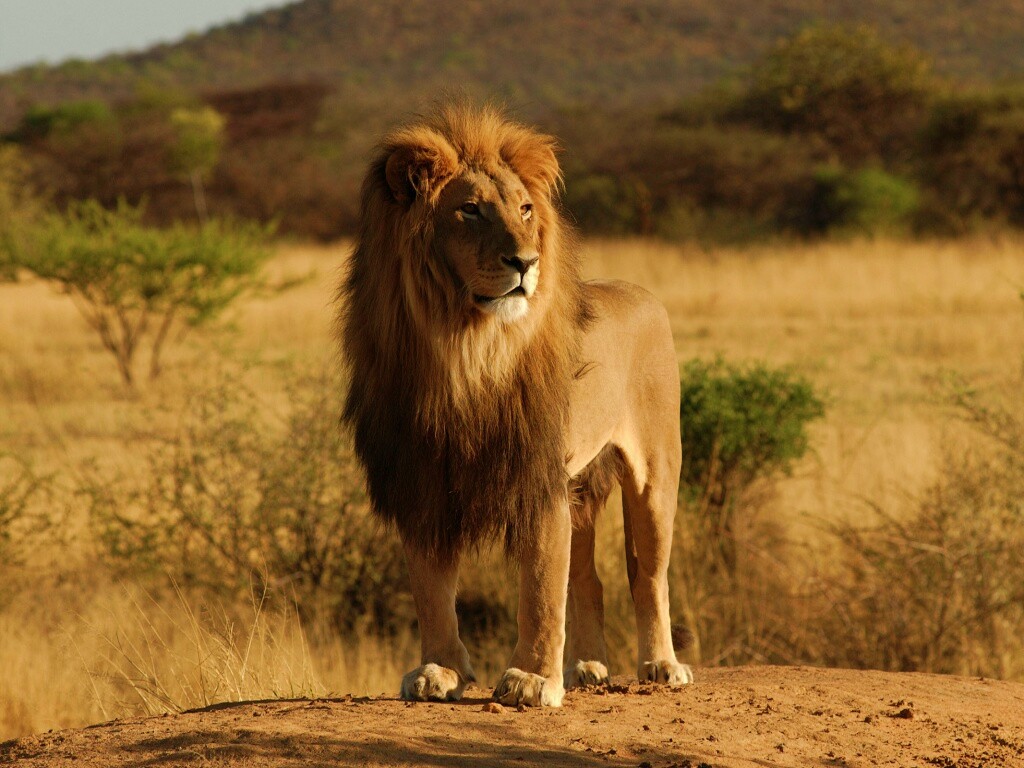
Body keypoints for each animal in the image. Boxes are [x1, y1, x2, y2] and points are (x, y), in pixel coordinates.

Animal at [339, 103, 692, 708]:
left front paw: (531, 680)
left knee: (648, 575)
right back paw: (587, 667)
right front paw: (440, 671)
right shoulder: (422, 479)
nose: (525, 261)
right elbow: (432, 589)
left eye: (526, 210)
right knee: (589, 578)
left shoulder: (537, 476)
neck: (464, 350)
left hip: (655, 474)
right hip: (581, 487)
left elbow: (541, 588)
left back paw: (661, 665)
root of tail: (642, 293)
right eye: (470, 210)